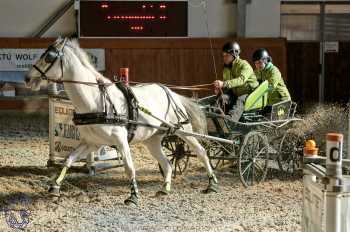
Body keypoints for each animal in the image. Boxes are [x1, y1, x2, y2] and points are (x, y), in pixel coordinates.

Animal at [24, 37, 217, 205]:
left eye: (49, 57)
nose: (27, 78)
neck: (96, 101)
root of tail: (169, 91)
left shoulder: (121, 140)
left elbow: (129, 167)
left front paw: (133, 196)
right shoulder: (91, 142)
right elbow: (68, 159)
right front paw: (55, 188)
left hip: (184, 131)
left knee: (201, 152)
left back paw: (212, 184)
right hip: (152, 140)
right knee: (167, 164)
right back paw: (164, 189)